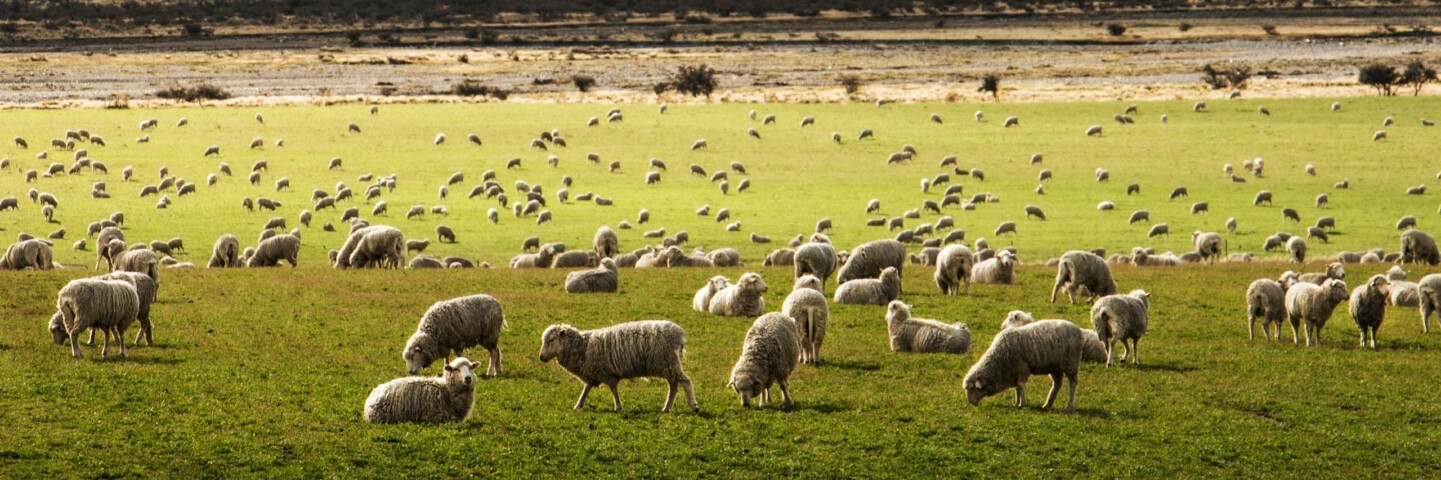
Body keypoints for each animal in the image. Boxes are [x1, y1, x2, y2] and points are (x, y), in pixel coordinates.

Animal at [539, 320, 698, 412]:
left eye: (551, 340)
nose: (541, 357)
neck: (583, 346)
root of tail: (679, 334)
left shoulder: (606, 372)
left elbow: (613, 389)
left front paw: (618, 406)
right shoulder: (593, 373)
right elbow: (586, 389)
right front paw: (578, 405)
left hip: (669, 362)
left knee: (685, 382)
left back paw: (693, 406)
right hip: (668, 365)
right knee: (674, 386)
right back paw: (667, 407)